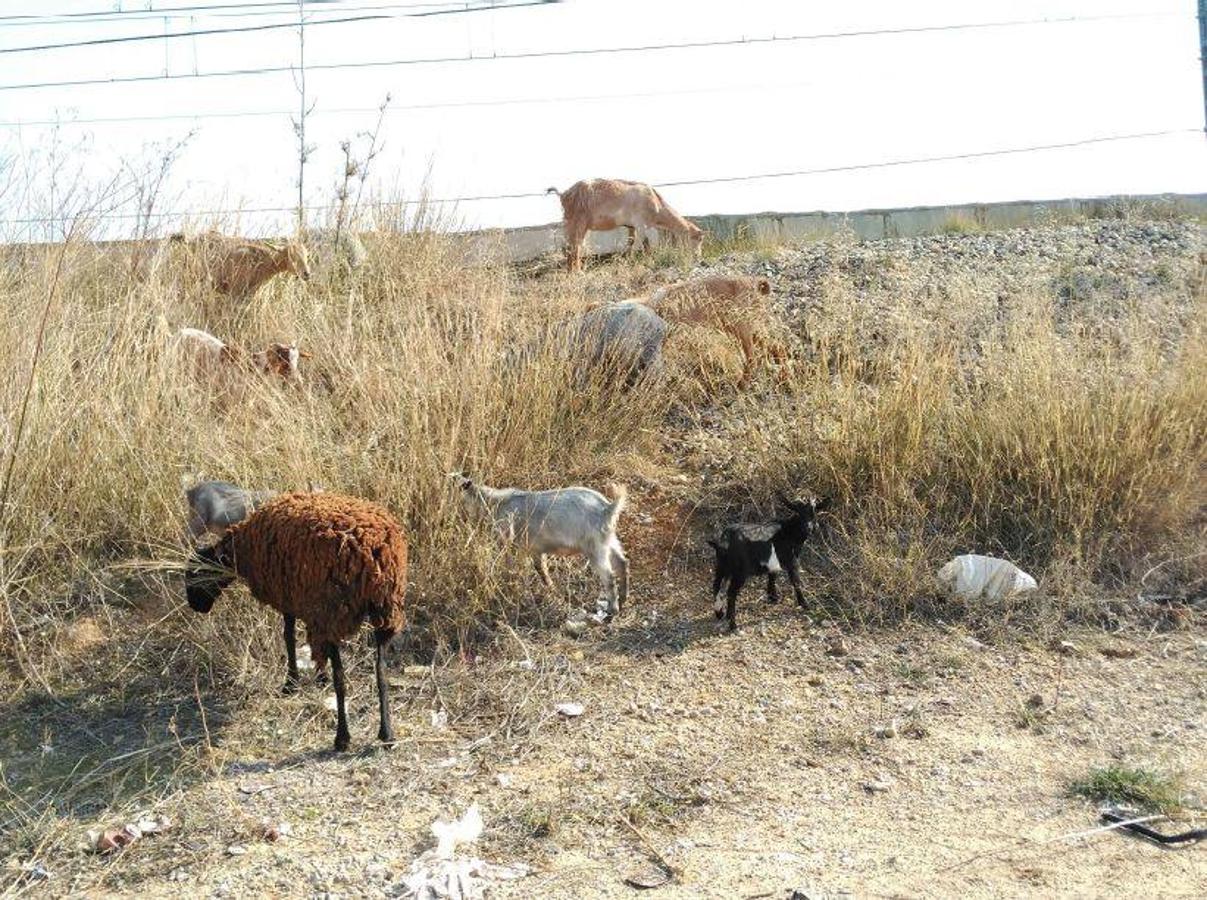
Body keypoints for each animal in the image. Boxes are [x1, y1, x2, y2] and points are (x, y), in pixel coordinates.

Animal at [183, 489, 407, 747]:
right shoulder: (305, 603)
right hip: (385, 609)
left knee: (341, 678)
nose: (195, 607)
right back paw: (387, 733)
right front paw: (318, 677)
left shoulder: (288, 598)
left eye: (193, 576)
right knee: (381, 671)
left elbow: (288, 637)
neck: (240, 550)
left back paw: (342, 737)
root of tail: (371, 551)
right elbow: (313, 645)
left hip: (333, 611)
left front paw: (291, 683)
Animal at [446, 470, 632, 622]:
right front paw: (551, 588)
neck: (493, 502)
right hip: (609, 539)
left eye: (452, 485)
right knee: (621, 562)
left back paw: (612, 609)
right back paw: (623, 599)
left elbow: (512, 567)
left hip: (595, 547)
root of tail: (607, 508)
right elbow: (541, 569)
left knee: (609, 576)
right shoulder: (535, 549)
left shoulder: (508, 542)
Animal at [550, 177, 704, 270]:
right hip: (578, 221)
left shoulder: (632, 226)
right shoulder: (641, 223)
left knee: (569, 246)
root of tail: (564, 194)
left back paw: (571, 270)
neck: (657, 204)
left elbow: (635, 243)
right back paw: (578, 271)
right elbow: (642, 245)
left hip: (570, 223)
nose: (699, 258)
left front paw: (637, 261)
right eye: (698, 240)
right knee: (576, 246)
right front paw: (636, 262)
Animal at [646, 273, 786, 386]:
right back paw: (783, 378)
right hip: (747, 329)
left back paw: (742, 385)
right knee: (777, 347)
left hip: (743, 328)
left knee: (753, 359)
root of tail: (755, 284)